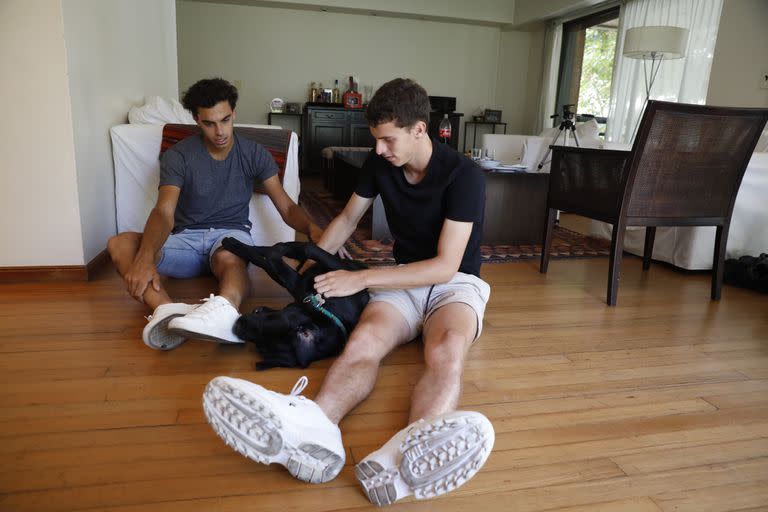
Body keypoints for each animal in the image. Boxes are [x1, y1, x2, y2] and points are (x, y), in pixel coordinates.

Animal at [222, 238, 368, 370]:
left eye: (260, 346)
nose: (236, 327)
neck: (326, 311)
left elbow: (271, 258)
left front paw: (232, 243)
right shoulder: (300, 286)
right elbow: (273, 257)